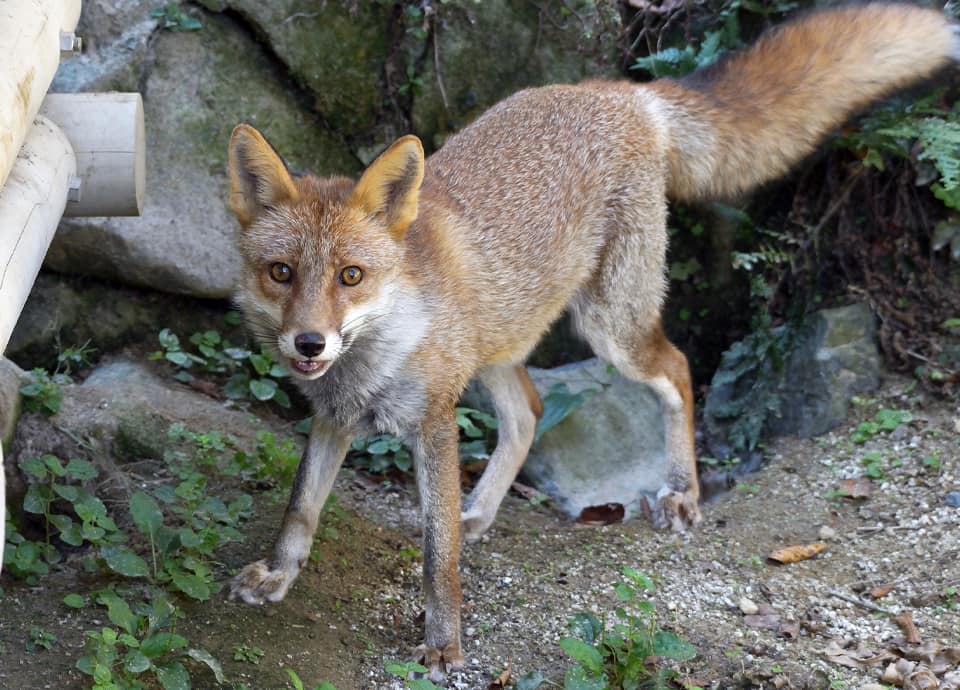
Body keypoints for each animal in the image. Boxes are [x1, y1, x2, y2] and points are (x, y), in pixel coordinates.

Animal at [226, 3, 959, 680]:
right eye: (282, 273)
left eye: (351, 276)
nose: (310, 344)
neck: (375, 356)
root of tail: (621, 91)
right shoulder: (333, 417)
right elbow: (300, 510)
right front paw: (277, 576)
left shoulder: (432, 423)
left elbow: (438, 558)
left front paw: (444, 642)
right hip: (502, 344)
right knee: (530, 412)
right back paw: (479, 513)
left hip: (613, 328)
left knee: (678, 369)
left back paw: (682, 492)